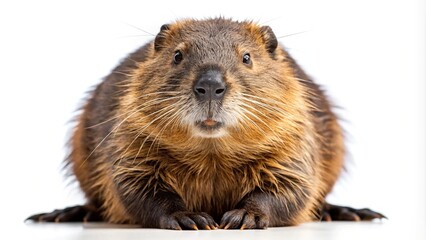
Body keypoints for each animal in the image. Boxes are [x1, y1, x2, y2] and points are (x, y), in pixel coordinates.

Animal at [27, 18, 386, 229]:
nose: (211, 84)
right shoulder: (128, 135)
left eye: (246, 57)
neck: (212, 152)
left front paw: (244, 215)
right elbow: (133, 186)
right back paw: (65, 214)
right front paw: (191, 217)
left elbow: (293, 187)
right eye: (177, 55)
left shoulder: (295, 135)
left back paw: (347, 212)